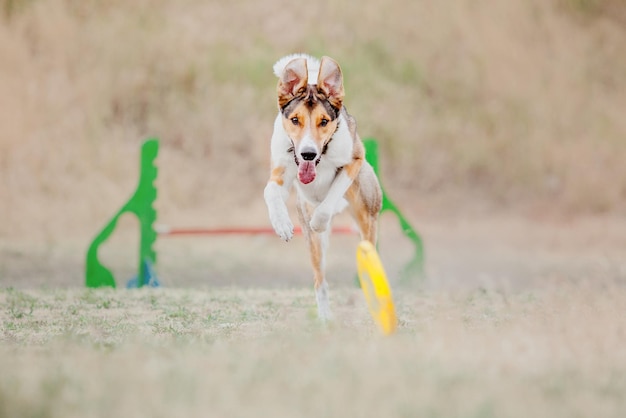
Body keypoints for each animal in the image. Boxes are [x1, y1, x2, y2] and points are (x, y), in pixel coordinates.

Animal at [262, 53, 380, 320]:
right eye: (295, 120)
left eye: (324, 121)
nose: (307, 153)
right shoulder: (281, 170)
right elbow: (270, 191)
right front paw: (282, 225)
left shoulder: (354, 160)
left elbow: (333, 194)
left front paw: (319, 219)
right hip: (315, 246)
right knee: (320, 280)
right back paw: (326, 318)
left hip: (367, 221)